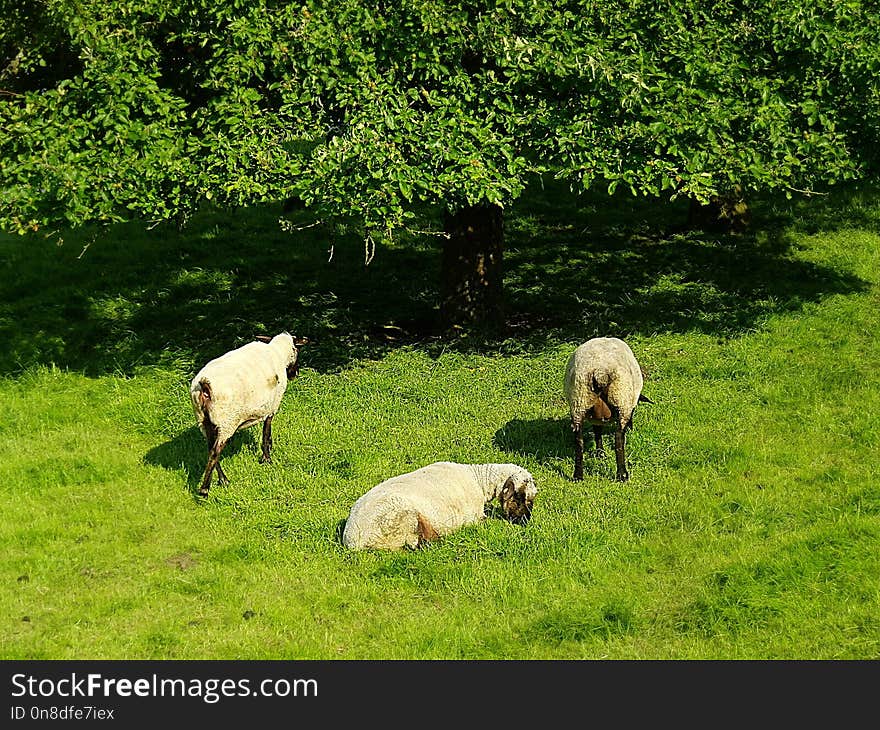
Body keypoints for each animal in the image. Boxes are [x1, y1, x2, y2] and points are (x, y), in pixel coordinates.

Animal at [189, 332, 306, 494]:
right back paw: (207, 489)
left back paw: (222, 480)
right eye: (297, 350)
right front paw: (267, 458)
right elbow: (266, 432)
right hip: (226, 422)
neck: (278, 352)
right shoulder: (272, 406)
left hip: (204, 421)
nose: (295, 374)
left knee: (210, 449)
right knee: (214, 453)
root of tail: (204, 386)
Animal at [342, 458, 536, 548]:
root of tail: (353, 541)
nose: (525, 522)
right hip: (404, 523)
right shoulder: (475, 517)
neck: (479, 480)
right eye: (518, 496)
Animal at [560, 336, 648, 484]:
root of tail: (600, 372)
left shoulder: (596, 418)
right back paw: (622, 475)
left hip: (579, 400)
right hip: (621, 398)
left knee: (578, 440)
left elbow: (597, 431)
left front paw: (599, 452)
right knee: (618, 438)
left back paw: (578, 476)